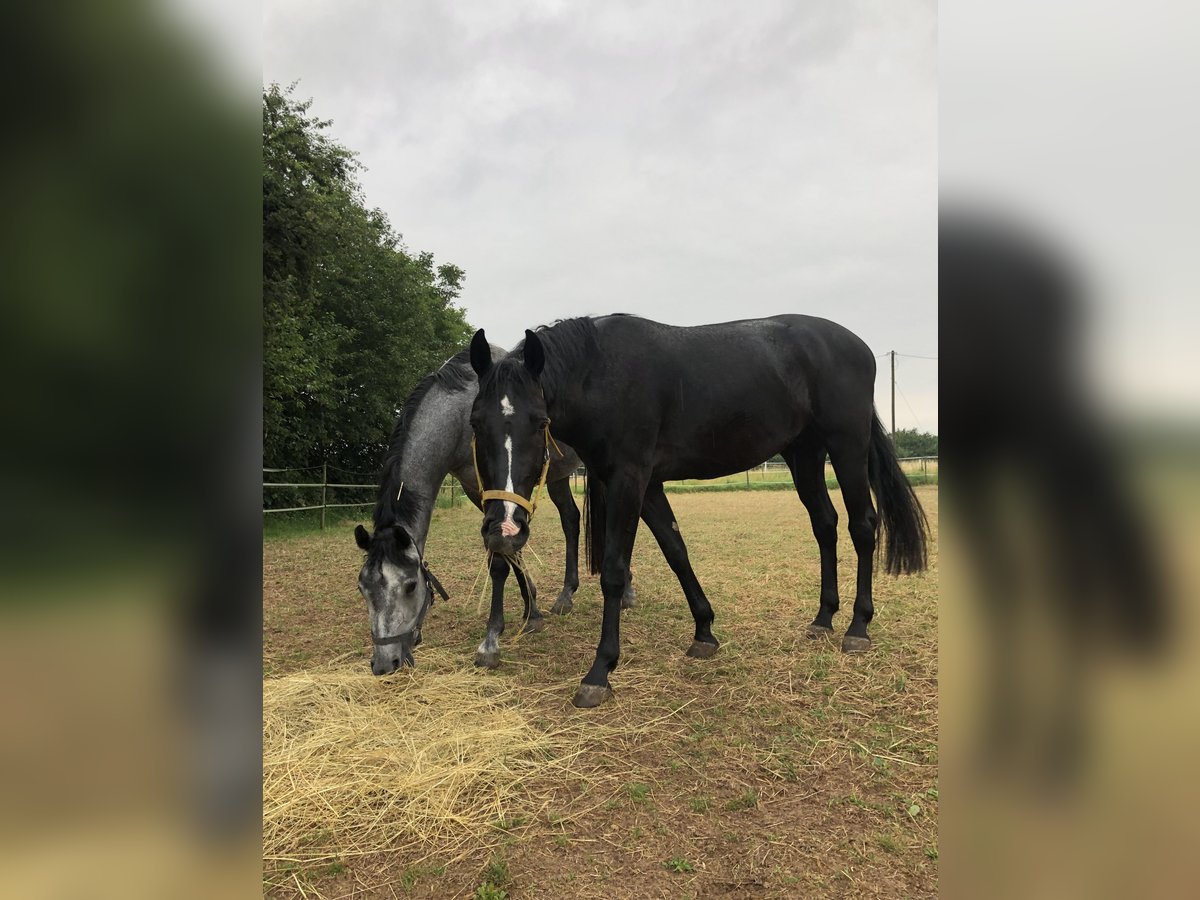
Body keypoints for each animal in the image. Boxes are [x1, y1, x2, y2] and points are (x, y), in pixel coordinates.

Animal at [355, 345, 638, 676]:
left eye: (411, 587)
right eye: (363, 588)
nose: (384, 663)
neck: (458, 419)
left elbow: (499, 562)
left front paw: (491, 640)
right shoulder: (483, 495)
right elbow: (510, 549)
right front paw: (532, 612)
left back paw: (627, 592)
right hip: (557, 478)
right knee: (571, 520)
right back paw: (566, 595)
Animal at [465, 314, 926, 710]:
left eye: (539, 421)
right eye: (475, 423)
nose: (504, 529)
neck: (601, 372)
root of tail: (855, 344)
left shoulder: (629, 480)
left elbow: (615, 571)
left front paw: (599, 672)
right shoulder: (648, 485)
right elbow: (676, 550)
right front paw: (704, 631)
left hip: (847, 446)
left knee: (862, 526)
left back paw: (858, 627)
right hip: (805, 454)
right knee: (825, 525)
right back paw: (823, 618)